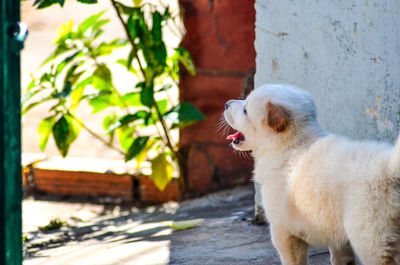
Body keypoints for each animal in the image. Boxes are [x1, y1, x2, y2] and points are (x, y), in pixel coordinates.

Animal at [225, 84, 400, 264]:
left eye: (245, 110)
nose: (226, 104)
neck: (290, 145)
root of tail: (389, 167)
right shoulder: (334, 229)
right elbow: (341, 256)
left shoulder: (283, 230)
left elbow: (292, 260)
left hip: (370, 237)